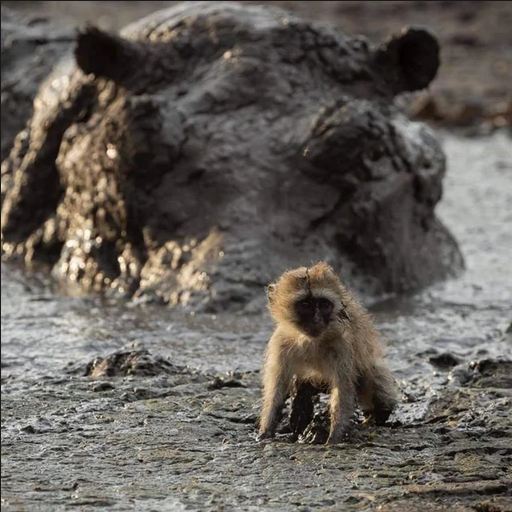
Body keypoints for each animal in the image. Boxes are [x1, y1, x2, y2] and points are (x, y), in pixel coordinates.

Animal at [258, 262, 398, 442]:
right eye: (306, 305)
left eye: (324, 305)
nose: (317, 320)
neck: (310, 341)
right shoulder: (280, 343)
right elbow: (277, 388)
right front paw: (266, 431)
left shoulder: (342, 345)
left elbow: (343, 388)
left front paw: (334, 437)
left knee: (375, 386)